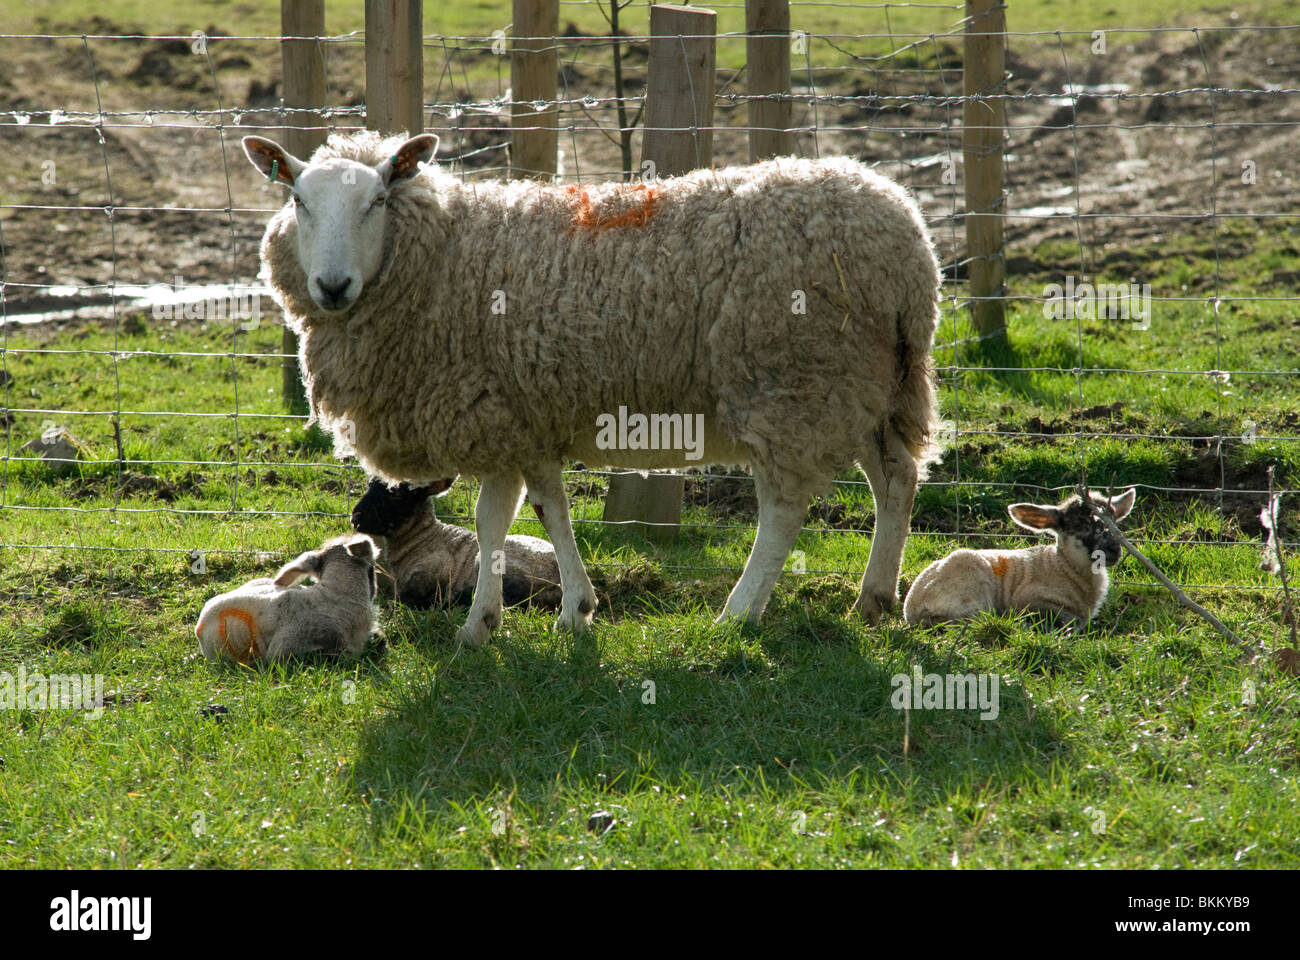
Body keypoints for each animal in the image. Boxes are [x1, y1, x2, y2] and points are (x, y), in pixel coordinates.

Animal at [351, 476, 564, 608]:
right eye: (369, 485)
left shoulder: (431, 575)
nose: (355, 518)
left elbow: (405, 598)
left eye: (396, 493)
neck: (423, 538)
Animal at [899, 486, 1133, 629]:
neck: (1064, 567)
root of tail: (911, 608)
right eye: (1081, 526)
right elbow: (1066, 619)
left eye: (1114, 521)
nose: (1113, 550)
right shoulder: (1029, 599)